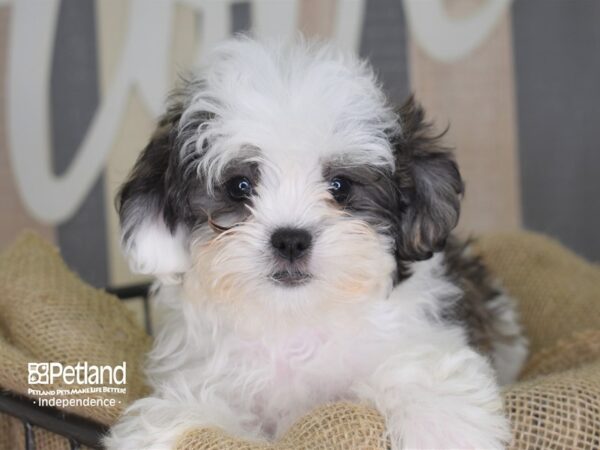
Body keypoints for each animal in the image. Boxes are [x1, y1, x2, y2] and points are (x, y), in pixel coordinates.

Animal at [105, 37, 528, 448]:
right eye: (239, 186)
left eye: (340, 186)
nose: (291, 240)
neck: (295, 319)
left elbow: (419, 371)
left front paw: (441, 428)